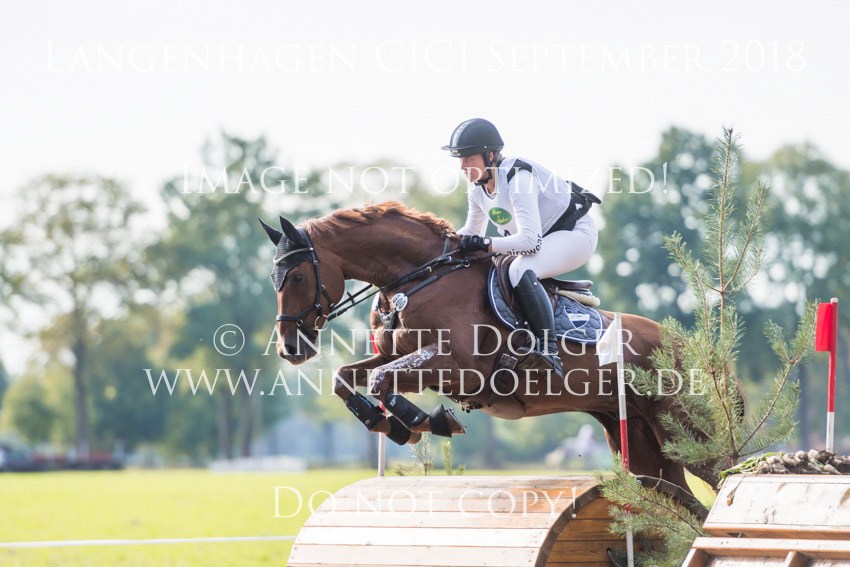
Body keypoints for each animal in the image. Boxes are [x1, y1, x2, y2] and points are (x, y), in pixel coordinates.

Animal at [260, 201, 721, 493]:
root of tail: (690, 347)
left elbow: (379, 378)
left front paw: (423, 420)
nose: (290, 349)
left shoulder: (458, 367)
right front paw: (390, 424)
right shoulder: (397, 354)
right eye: (273, 278)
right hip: (642, 440)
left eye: (297, 276)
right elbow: (349, 378)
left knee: (721, 473)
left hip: (685, 432)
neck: (416, 277)